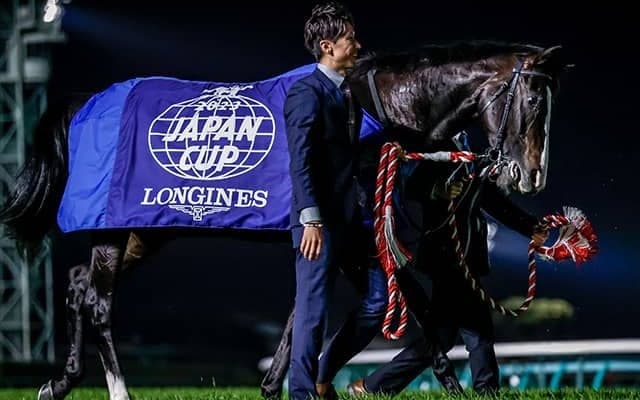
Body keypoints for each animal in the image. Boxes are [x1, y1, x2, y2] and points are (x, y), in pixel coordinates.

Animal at [0, 40, 568, 400]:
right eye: (533, 99)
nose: (532, 175)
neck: (375, 110)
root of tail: (83, 104)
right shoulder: (359, 235)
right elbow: (413, 306)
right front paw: (448, 382)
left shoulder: (342, 237)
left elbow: (307, 311)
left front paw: (280, 384)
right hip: (115, 231)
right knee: (97, 301)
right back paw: (118, 391)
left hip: (145, 231)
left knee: (78, 285)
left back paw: (60, 382)